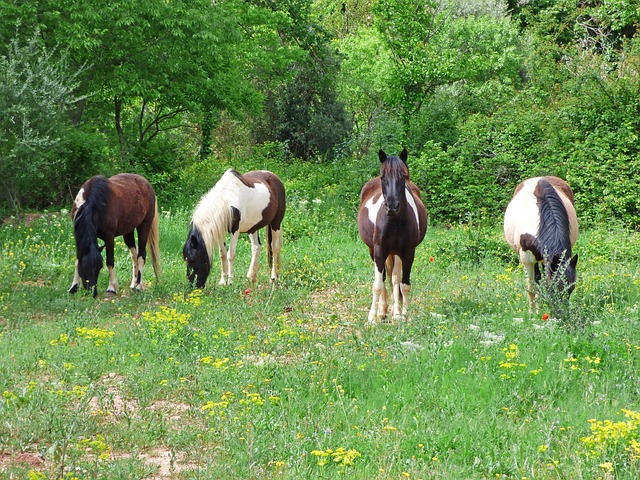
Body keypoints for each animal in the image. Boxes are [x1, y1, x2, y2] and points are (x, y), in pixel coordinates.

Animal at [358, 148, 428, 324]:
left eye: (403, 176)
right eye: (383, 177)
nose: (392, 206)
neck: (394, 221)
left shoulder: (408, 252)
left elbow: (404, 284)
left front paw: (403, 315)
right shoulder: (379, 251)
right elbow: (377, 285)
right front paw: (372, 318)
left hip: (395, 253)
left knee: (395, 278)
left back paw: (394, 312)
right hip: (374, 251)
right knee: (383, 279)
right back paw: (381, 312)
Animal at [504, 175, 580, 312]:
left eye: (571, 289)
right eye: (556, 287)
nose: (562, 313)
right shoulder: (526, 259)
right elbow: (531, 287)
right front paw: (533, 312)